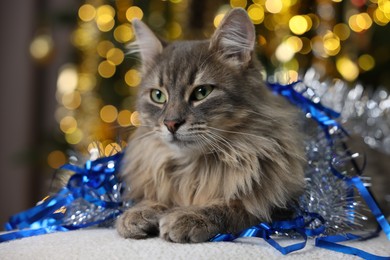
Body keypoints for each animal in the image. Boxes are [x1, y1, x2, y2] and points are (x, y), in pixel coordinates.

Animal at [114, 8, 306, 244]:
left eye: (201, 92)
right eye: (158, 96)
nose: (171, 123)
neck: (193, 167)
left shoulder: (280, 208)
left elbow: (229, 207)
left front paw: (187, 216)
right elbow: (155, 198)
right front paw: (137, 213)